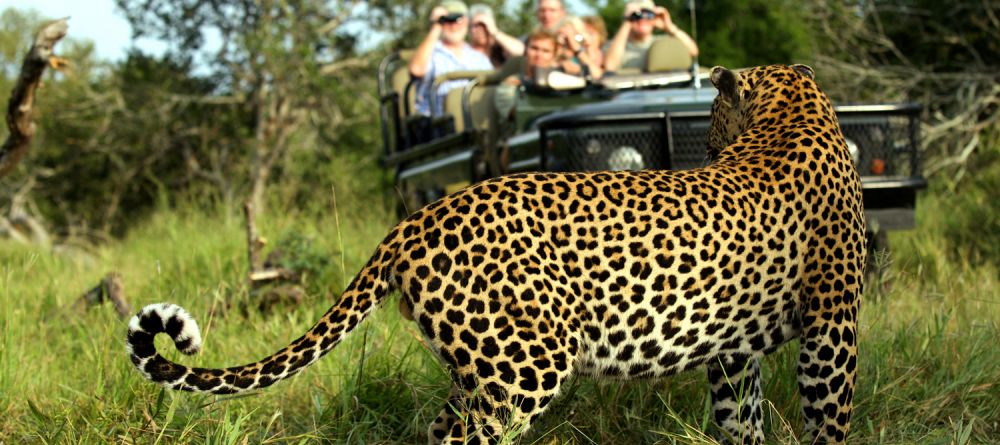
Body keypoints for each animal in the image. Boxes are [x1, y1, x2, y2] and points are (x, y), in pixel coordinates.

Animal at [127, 63, 860, 444]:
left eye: (709, 115)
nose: (703, 146)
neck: (795, 114)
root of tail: (416, 220)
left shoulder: (734, 350)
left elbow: (744, 422)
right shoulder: (834, 326)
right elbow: (830, 418)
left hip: (476, 366)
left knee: (435, 430)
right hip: (523, 368)